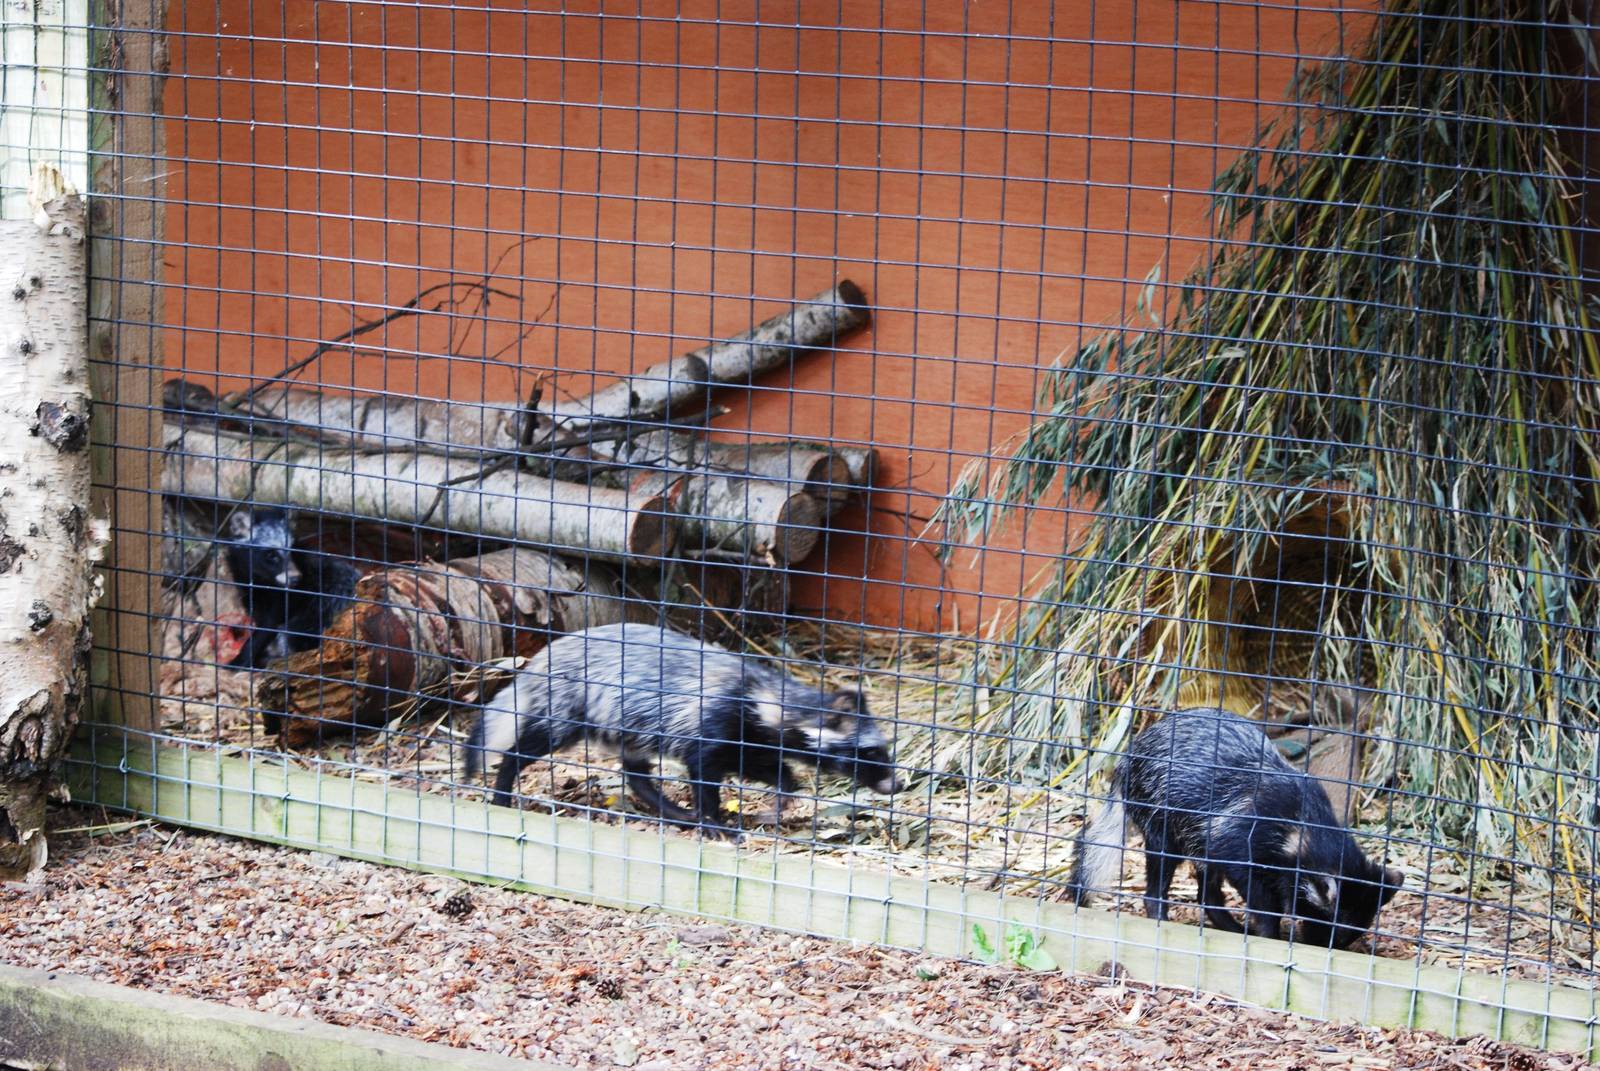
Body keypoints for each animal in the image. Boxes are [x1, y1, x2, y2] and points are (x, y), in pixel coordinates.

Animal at [466, 623, 903, 835]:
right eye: (871, 751)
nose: (895, 783)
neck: (765, 700)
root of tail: (544, 658)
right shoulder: (715, 723)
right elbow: (704, 774)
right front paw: (715, 824)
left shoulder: (750, 742)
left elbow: (774, 771)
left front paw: (778, 802)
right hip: (570, 706)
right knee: (524, 747)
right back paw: (502, 795)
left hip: (627, 724)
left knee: (637, 775)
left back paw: (676, 812)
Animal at [1068, 707, 1401, 949]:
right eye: (1335, 927)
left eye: (1353, 930)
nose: (1325, 946)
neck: (1301, 826)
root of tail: (1128, 759)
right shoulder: (1238, 840)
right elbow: (1264, 902)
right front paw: (1269, 934)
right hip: (1162, 819)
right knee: (1160, 881)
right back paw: (1163, 916)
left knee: (1208, 895)